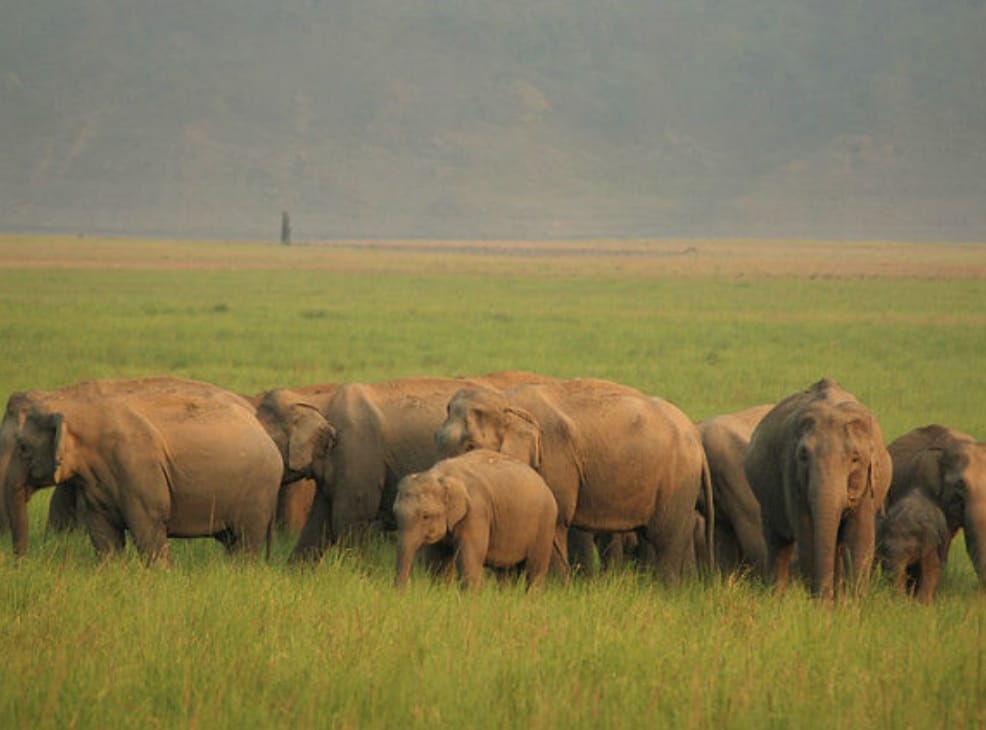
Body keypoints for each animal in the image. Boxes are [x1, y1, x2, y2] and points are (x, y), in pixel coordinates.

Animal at [4, 378, 284, 564]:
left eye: (24, 448)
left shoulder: (138, 468)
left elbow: (147, 527)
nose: (21, 562)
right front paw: (113, 574)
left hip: (258, 491)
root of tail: (262, 429)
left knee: (245, 541)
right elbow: (103, 532)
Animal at [393, 449, 561, 591]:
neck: (443, 475)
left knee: (535, 570)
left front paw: (469, 599)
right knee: (505, 572)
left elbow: (469, 561)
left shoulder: (476, 513)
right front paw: (438, 592)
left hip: (545, 523)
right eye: (395, 513)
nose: (405, 588)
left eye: (425, 516)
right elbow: (438, 561)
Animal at [434, 378, 714, 583]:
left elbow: (556, 518)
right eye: (437, 438)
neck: (506, 400)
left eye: (470, 446)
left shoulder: (555, 459)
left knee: (666, 535)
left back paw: (667, 590)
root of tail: (695, 437)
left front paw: (557, 589)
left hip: (678, 478)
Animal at [744, 378, 892, 600]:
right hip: (765, 499)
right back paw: (776, 598)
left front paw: (851, 604)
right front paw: (821, 605)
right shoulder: (792, 476)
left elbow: (860, 537)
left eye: (855, 459)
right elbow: (807, 533)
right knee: (777, 543)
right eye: (803, 456)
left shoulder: (868, 483)